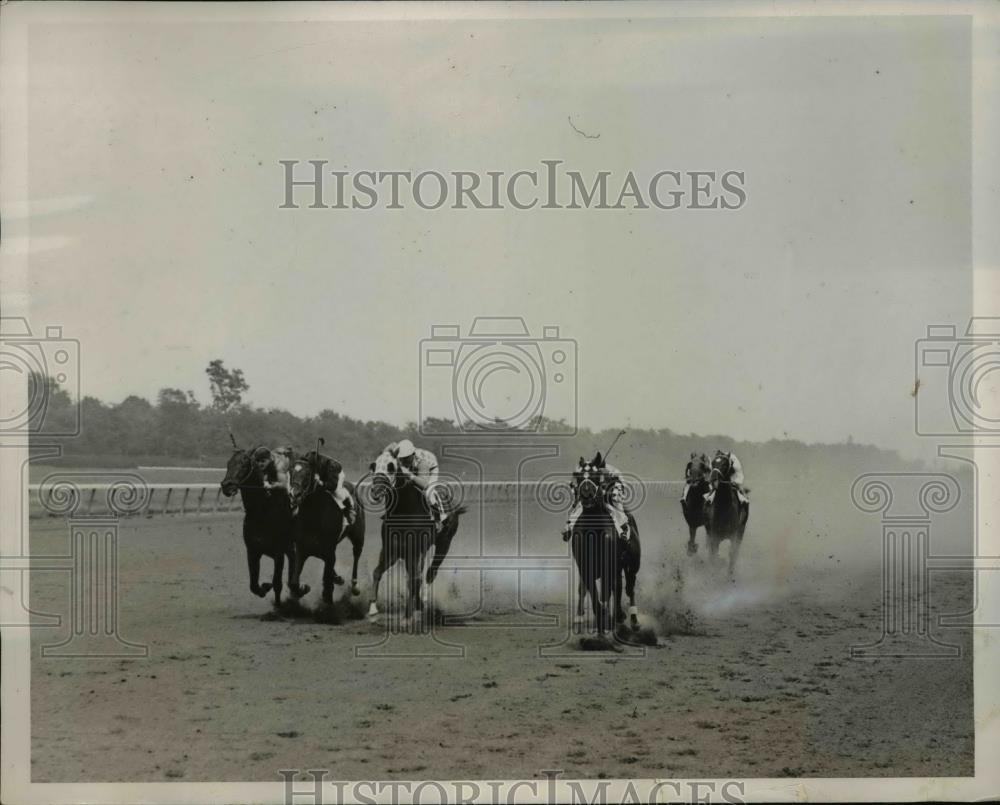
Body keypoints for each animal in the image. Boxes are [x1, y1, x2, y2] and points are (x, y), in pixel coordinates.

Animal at [220, 446, 294, 604]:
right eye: (228, 463)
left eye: (244, 464)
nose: (226, 485)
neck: (262, 512)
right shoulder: (252, 551)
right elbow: (253, 585)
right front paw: (264, 587)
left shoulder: (278, 553)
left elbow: (277, 583)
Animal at [368, 450, 468, 620]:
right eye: (374, 466)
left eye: (391, 467)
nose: (377, 490)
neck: (403, 512)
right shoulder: (392, 550)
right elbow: (377, 572)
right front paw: (373, 608)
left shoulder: (414, 551)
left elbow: (414, 580)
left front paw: (408, 615)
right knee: (420, 575)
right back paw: (419, 603)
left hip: (444, 544)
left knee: (430, 573)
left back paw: (425, 600)